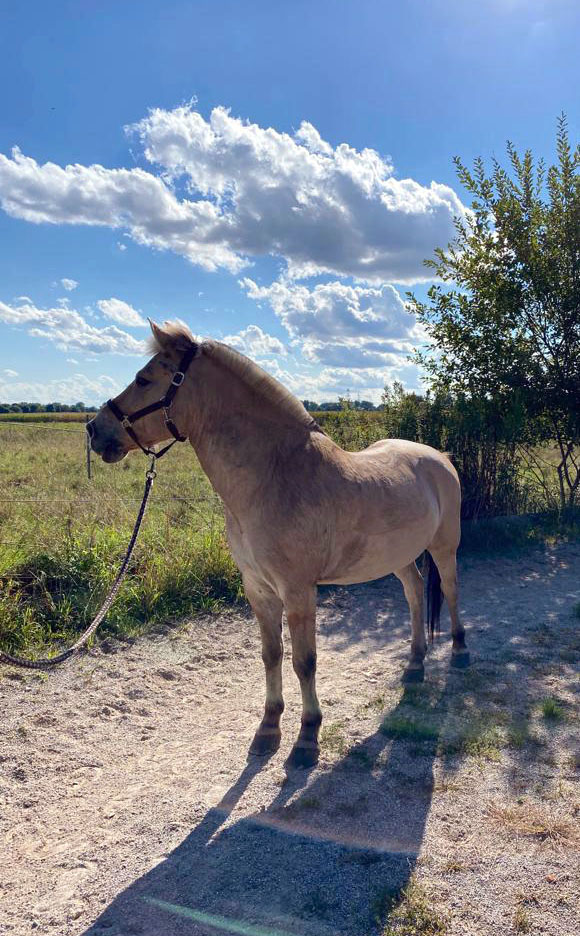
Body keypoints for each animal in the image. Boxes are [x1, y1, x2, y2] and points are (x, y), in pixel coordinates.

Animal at [87, 320, 469, 768]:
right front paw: (269, 728)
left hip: (445, 547)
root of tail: (438, 457)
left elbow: (305, 661)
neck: (273, 477)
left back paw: (460, 653)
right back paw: (414, 663)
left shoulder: (298, 591)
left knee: (450, 590)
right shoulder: (258, 589)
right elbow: (271, 655)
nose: (95, 430)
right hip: (398, 556)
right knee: (414, 593)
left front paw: (307, 737)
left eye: (144, 379)